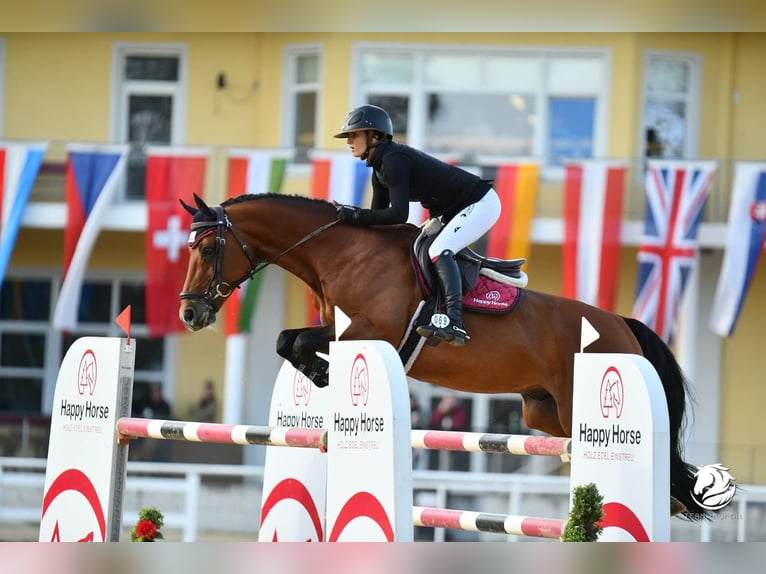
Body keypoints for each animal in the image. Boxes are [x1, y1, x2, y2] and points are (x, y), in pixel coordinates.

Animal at [178, 192, 712, 520]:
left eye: (207, 249)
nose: (189, 313)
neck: (339, 253)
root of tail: (622, 323)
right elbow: (287, 340)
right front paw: (320, 378)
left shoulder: (369, 333)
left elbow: (294, 341)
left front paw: (321, 374)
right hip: (545, 414)